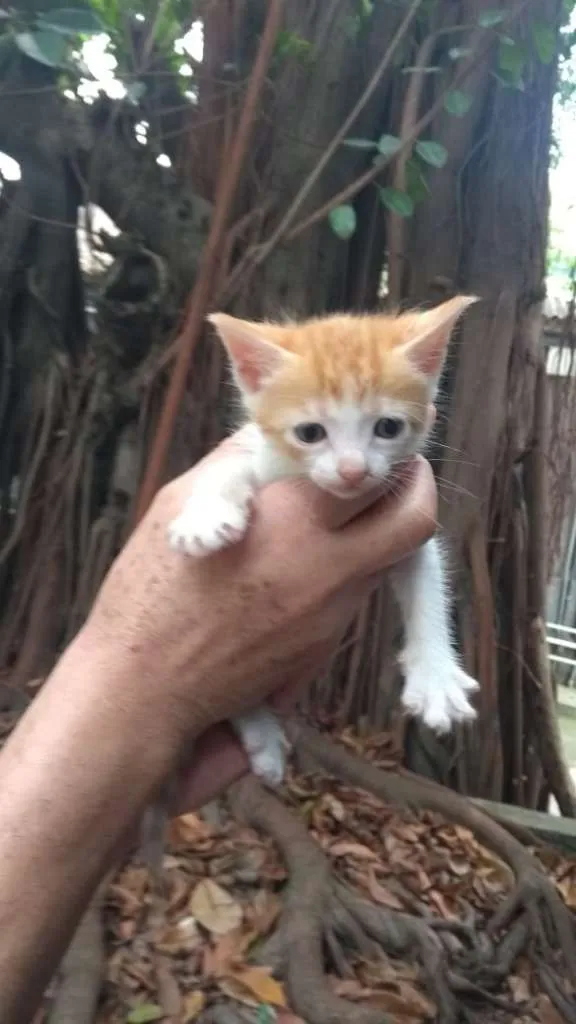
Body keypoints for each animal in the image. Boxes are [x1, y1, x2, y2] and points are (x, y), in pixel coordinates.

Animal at [168, 296, 477, 782]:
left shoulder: (408, 523)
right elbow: (229, 466)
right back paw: (262, 735)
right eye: (310, 433)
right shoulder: (264, 457)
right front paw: (206, 515)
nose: (353, 471)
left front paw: (436, 675)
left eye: (388, 428)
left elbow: (428, 586)